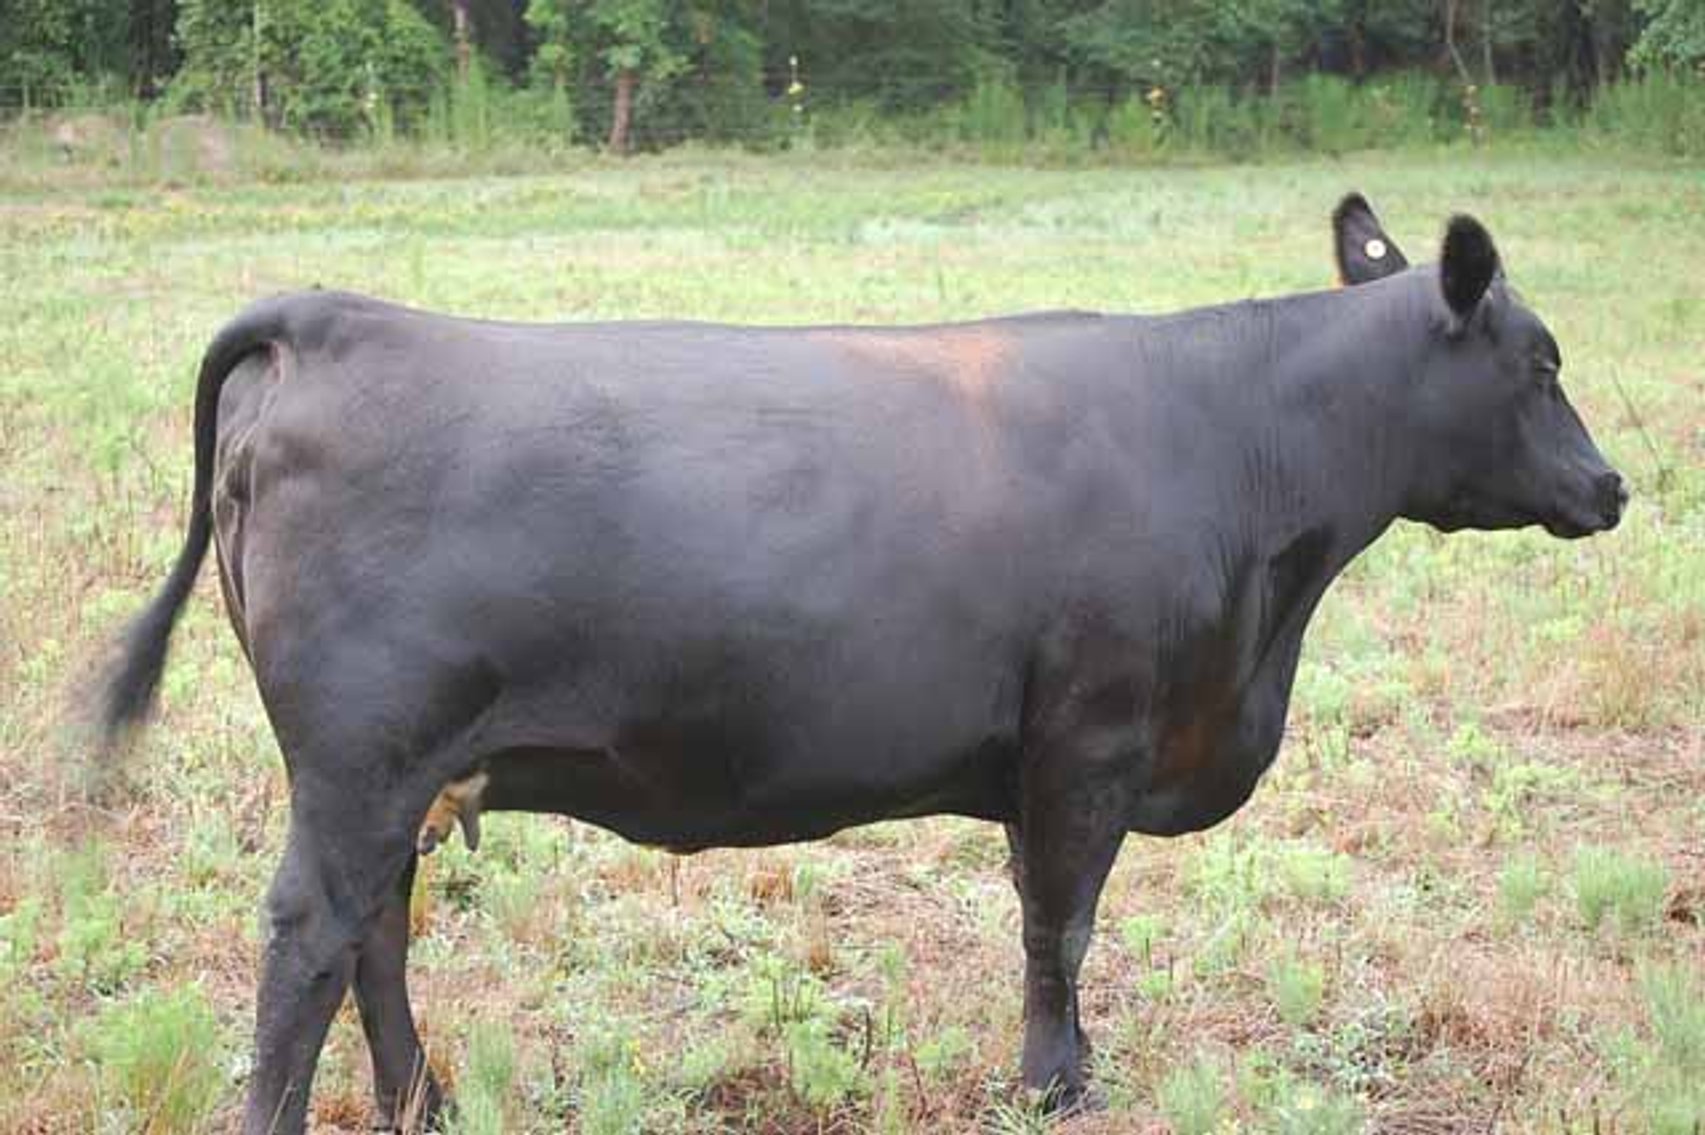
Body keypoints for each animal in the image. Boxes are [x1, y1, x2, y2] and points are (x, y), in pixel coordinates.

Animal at [94, 195, 1626, 1132]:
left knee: (378, 933)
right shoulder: (1089, 740)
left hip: (402, 773)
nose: (1613, 487)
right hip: (361, 759)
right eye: (1543, 361)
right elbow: (1059, 926)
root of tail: (336, 316)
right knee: (311, 938)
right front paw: (1056, 1085)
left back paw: (430, 1101)